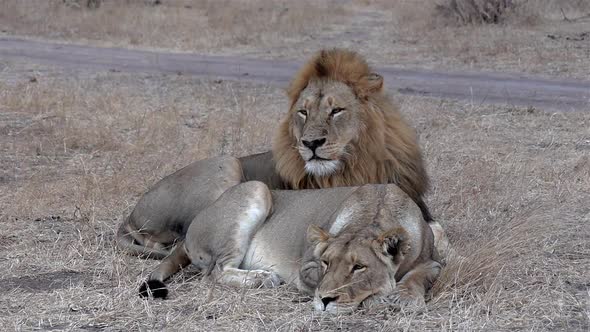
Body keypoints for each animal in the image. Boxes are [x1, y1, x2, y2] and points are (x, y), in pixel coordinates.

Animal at [118, 48, 448, 260]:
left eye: (336, 111)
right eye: (303, 112)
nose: (310, 143)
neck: (357, 164)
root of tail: (132, 214)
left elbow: (437, 229)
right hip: (225, 164)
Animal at [141, 180, 442, 312]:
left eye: (358, 267)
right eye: (326, 263)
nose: (325, 302)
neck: (377, 212)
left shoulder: (433, 261)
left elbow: (419, 277)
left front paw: (405, 296)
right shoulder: (305, 270)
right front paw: (380, 295)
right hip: (256, 188)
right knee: (214, 272)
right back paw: (263, 278)